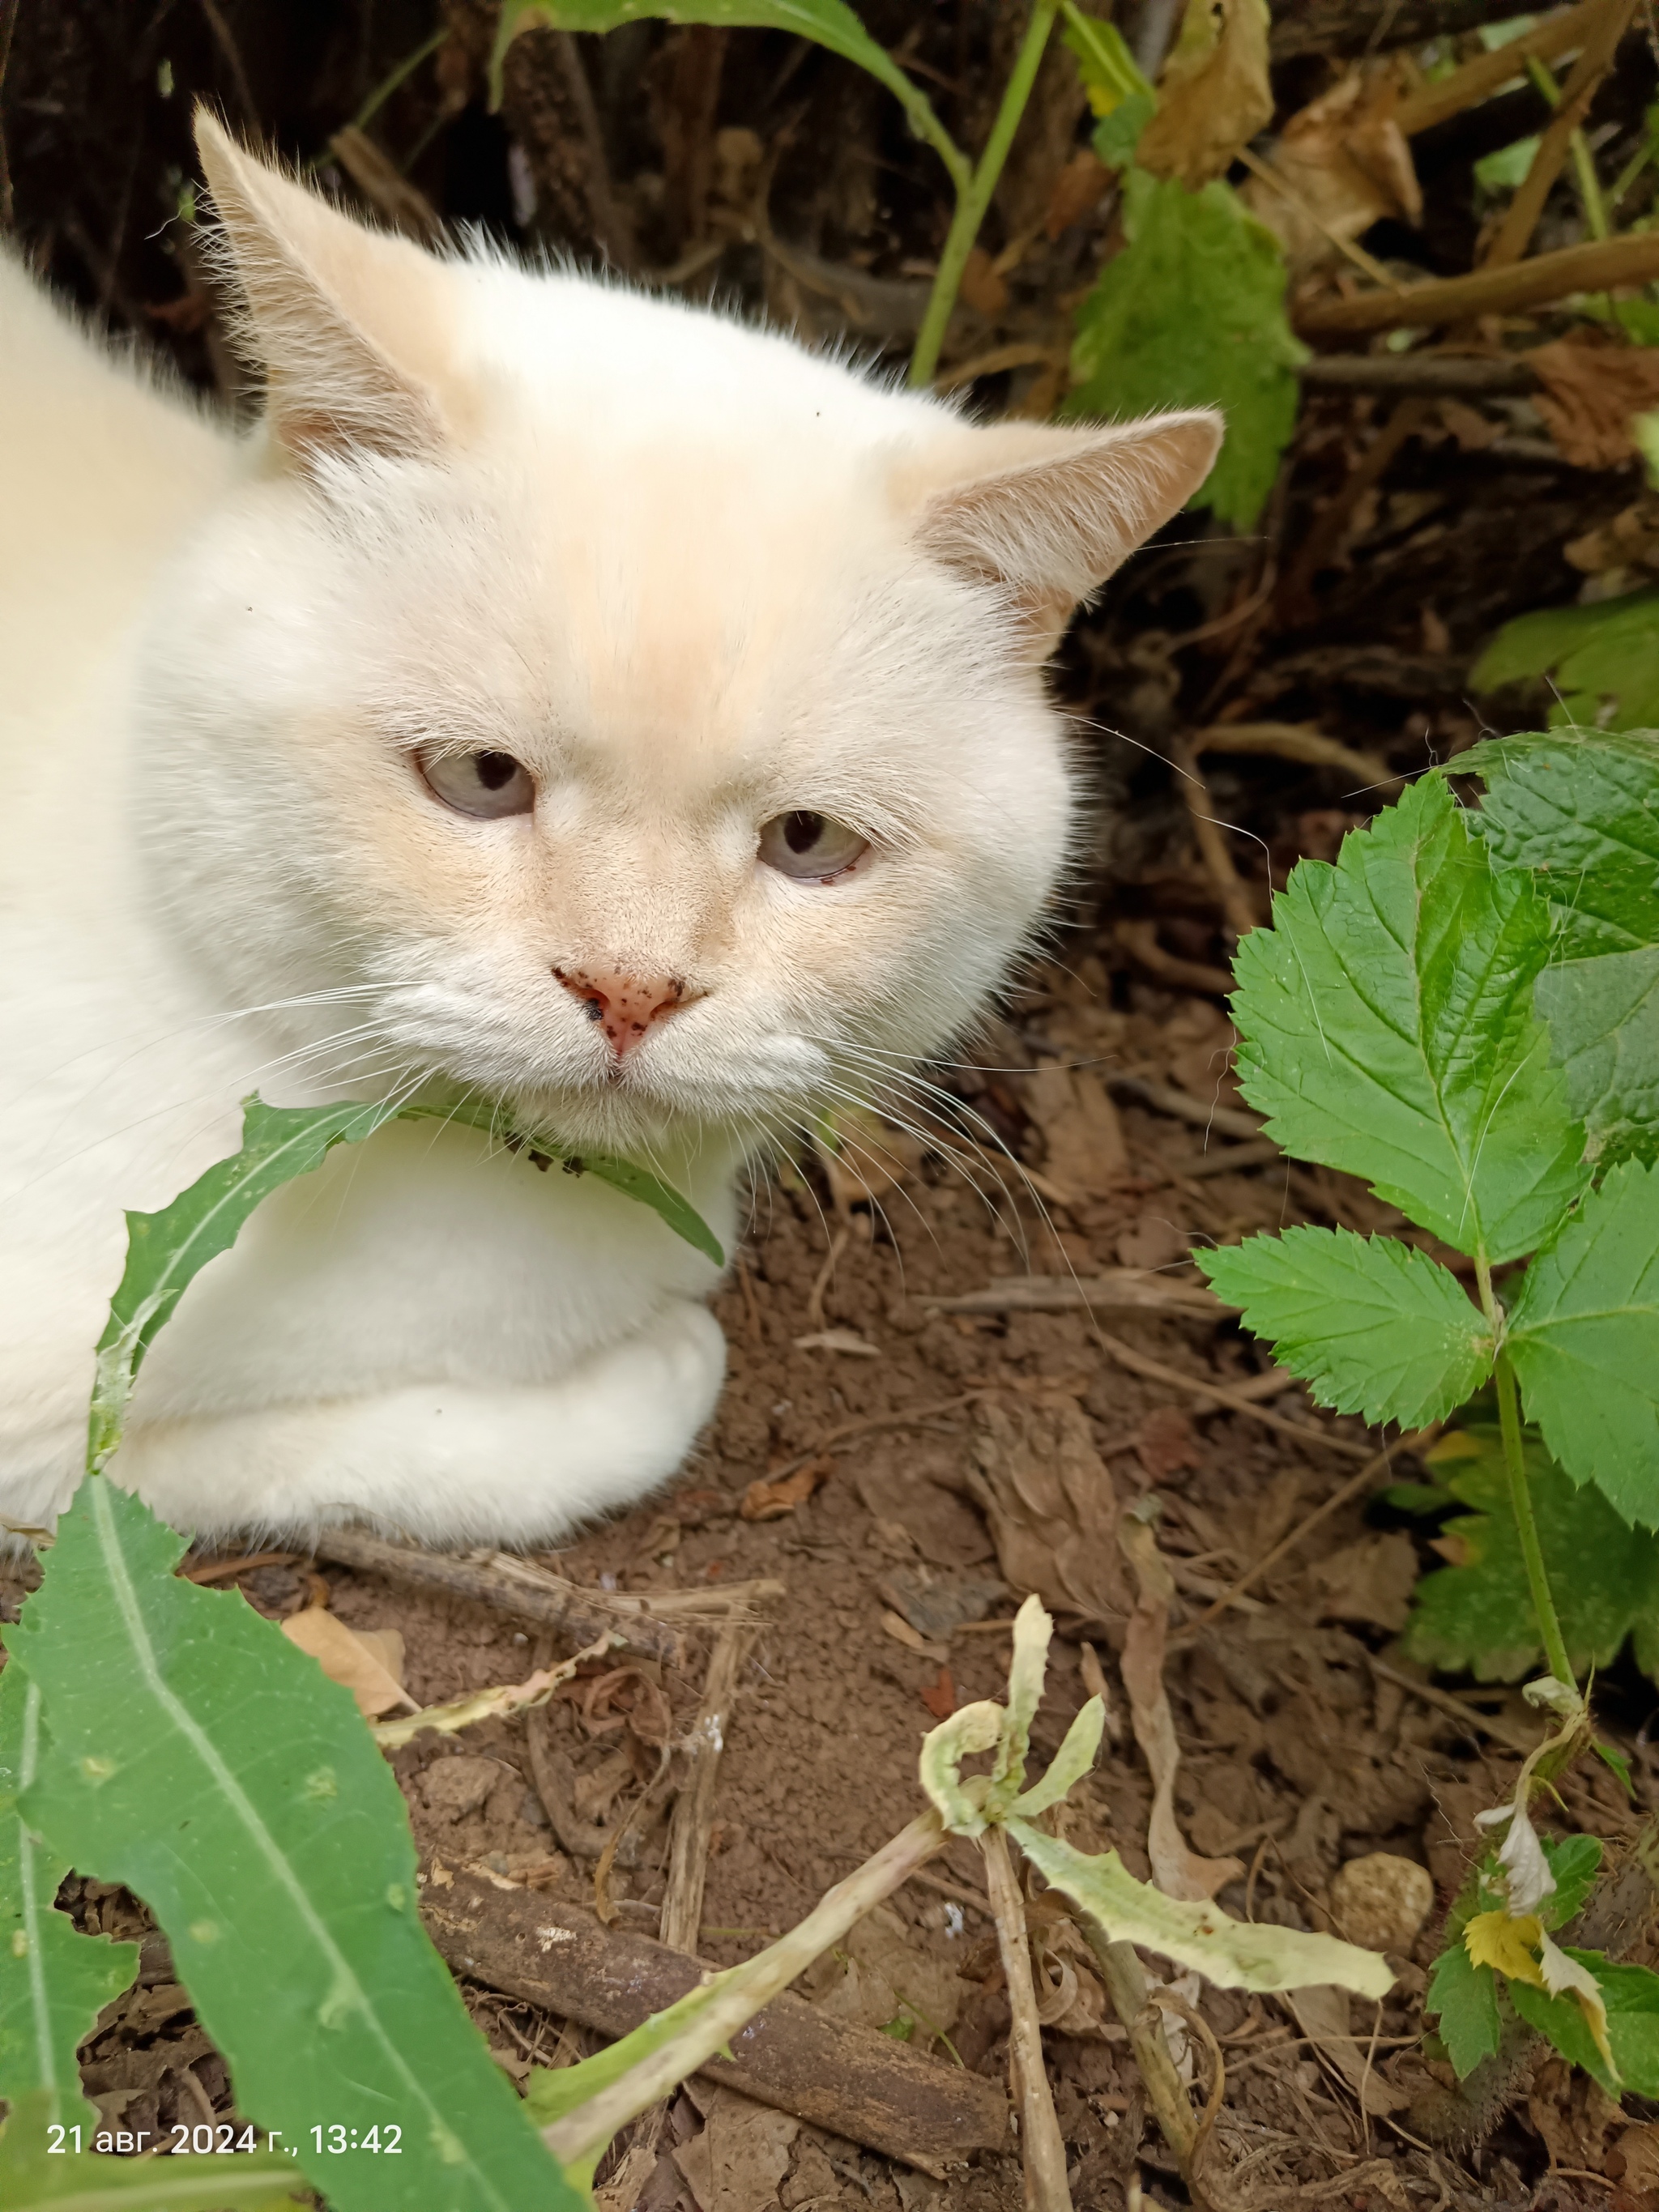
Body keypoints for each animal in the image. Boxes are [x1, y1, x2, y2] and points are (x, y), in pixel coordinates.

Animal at [0, 112, 1221, 1548]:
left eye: (809, 843)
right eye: (479, 777)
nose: (629, 990)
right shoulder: (67, 1440)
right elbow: (411, 1445)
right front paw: (664, 1361)